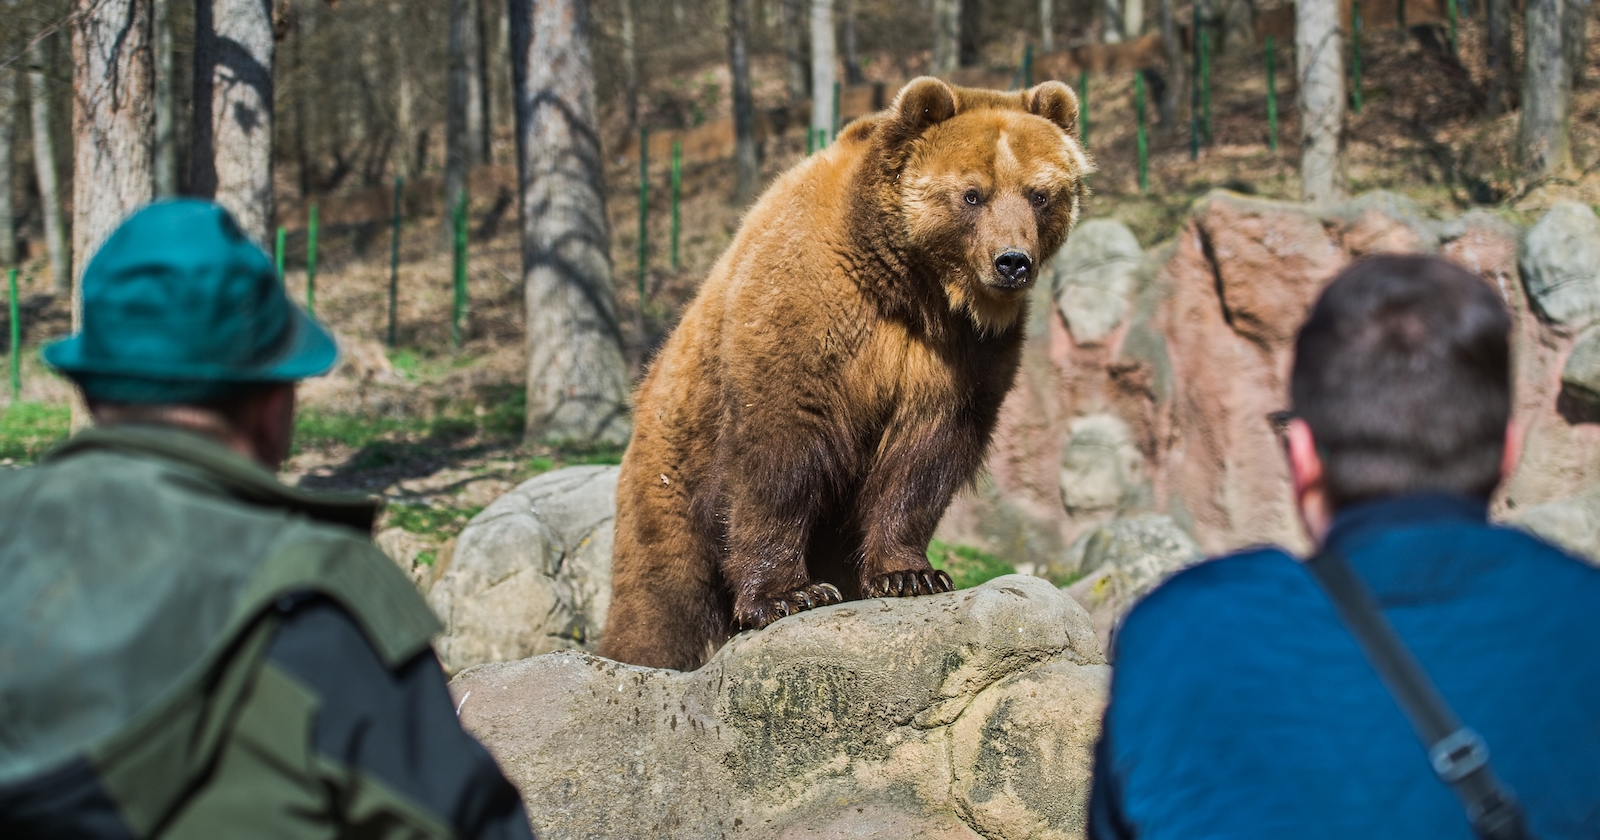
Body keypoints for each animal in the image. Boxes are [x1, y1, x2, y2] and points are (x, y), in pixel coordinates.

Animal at [598, 77, 1094, 670]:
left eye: (1040, 194)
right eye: (973, 194)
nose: (1012, 261)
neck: (912, 287)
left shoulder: (960, 355)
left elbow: (926, 454)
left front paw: (911, 574)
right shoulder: (809, 312)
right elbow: (779, 453)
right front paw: (789, 594)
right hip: (675, 467)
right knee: (662, 597)